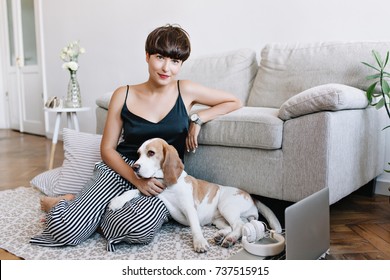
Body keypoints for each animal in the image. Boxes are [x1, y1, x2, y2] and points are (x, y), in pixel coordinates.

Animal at [108, 139, 282, 253]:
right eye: (138, 154)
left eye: (151, 153)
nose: (135, 167)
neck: (167, 185)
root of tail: (252, 196)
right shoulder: (152, 191)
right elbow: (133, 191)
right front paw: (117, 201)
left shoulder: (189, 208)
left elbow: (195, 227)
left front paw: (199, 242)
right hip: (219, 220)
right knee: (234, 226)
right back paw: (221, 236)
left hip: (226, 206)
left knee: (238, 226)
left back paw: (230, 239)